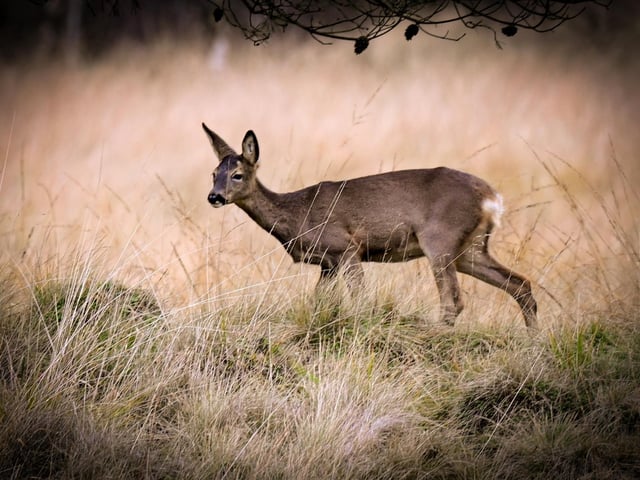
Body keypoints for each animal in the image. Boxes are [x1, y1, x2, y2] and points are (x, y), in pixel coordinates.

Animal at [203, 124, 538, 329]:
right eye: (214, 173)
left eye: (237, 175)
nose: (214, 197)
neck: (297, 215)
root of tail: (492, 198)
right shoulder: (327, 263)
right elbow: (318, 303)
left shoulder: (346, 247)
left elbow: (361, 300)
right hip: (470, 249)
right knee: (519, 283)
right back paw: (532, 339)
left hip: (440, 240)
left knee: (453, 300)